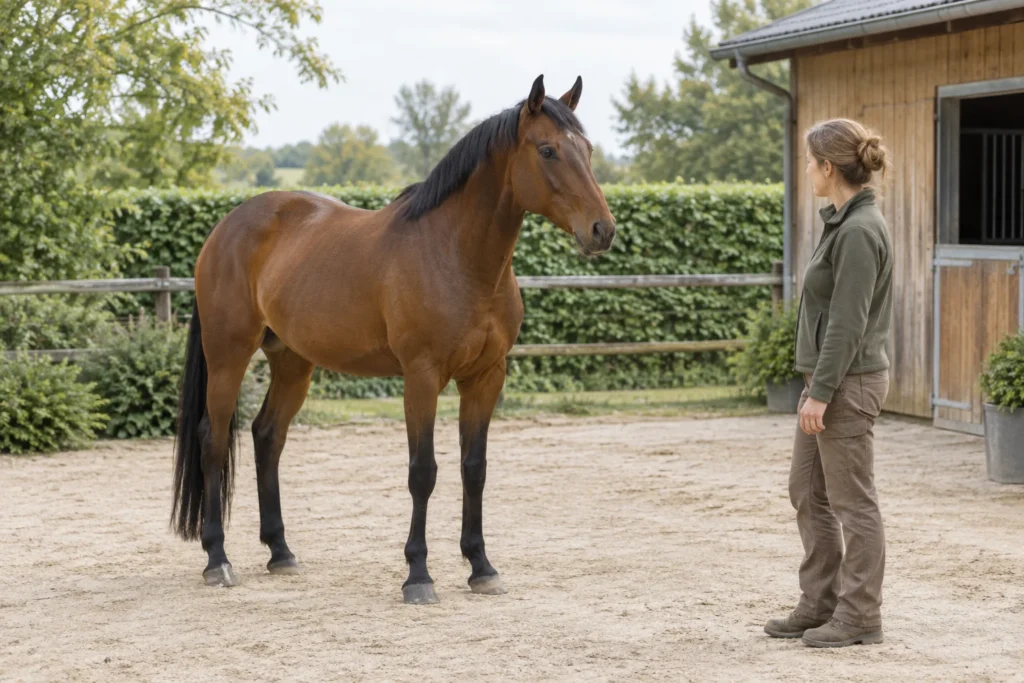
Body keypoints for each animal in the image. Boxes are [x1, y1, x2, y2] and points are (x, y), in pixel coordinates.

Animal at [171, 74, 616, 604]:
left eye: (587, 149)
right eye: (548, 150)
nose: (602, 230)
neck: (456, 256)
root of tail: (224, 229)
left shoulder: (486, 377)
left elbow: (474, 468)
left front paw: (481, 566)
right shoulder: (421, 378)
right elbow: (422, 472)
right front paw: (418, 575)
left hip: (293, 362)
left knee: (267, 436)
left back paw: (280, 552)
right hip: (228, 356)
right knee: (214, 440)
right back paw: (217, 559)